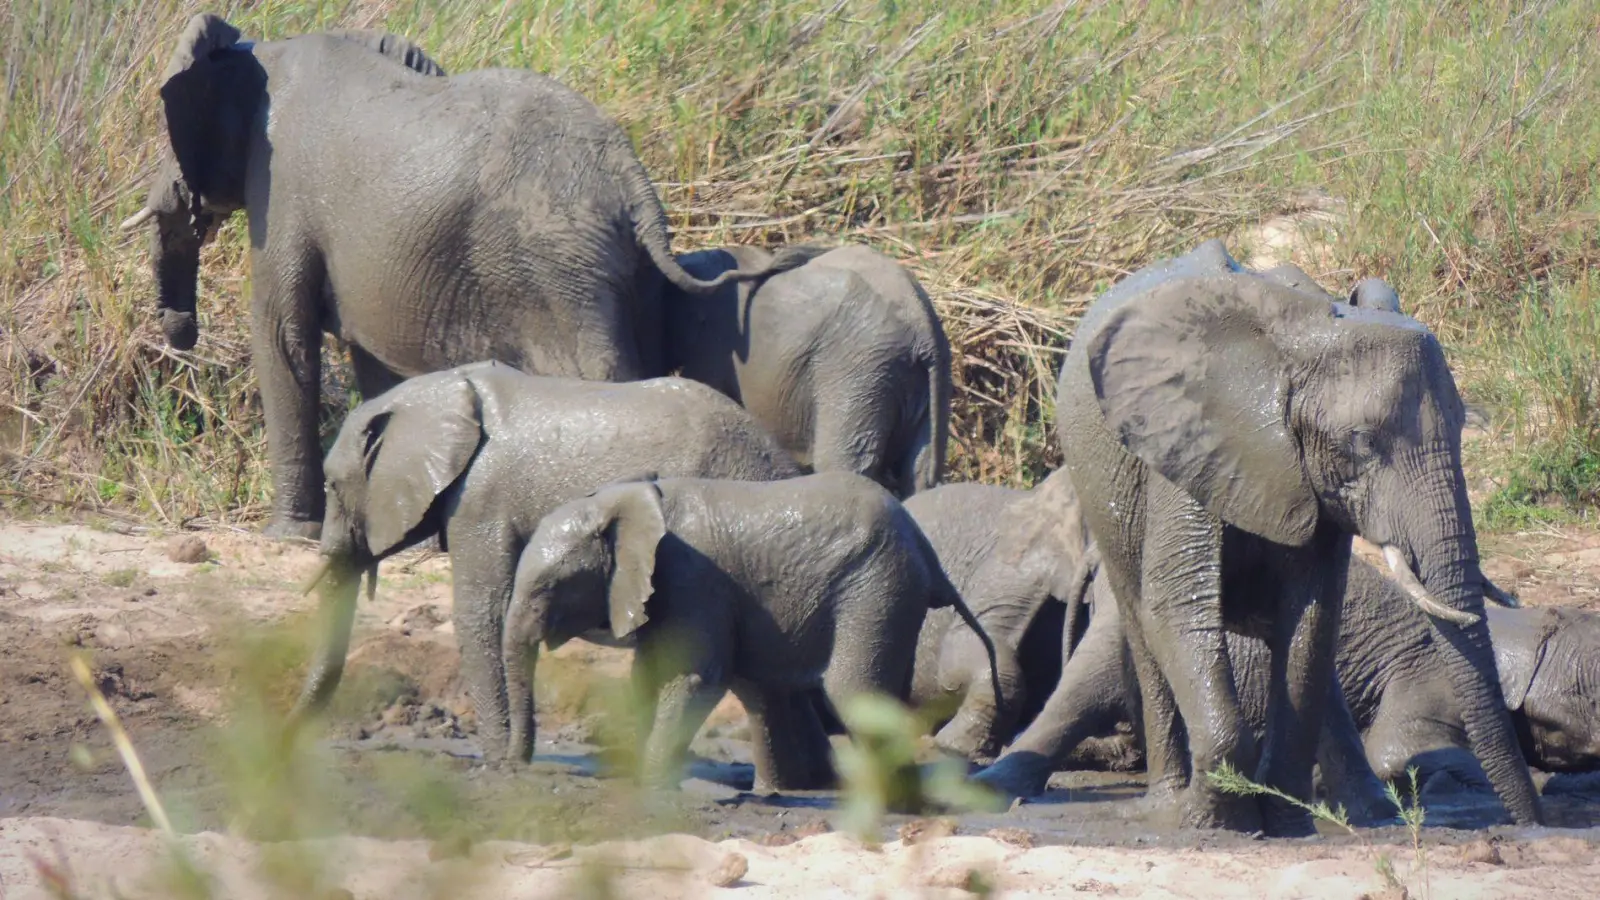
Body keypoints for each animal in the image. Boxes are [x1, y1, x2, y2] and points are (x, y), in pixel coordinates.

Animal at [121, 14, 812, 534]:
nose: (180, 332)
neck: (265, 48)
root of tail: (635, 184)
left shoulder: (283, 186)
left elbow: (283, 336)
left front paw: (288, 535)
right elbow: (375, 362)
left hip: (561, 269)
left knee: (601, 374)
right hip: (621, 271)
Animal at [502, 464, 1024, 787]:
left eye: (550, 587)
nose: (514, 767)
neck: (623, 501)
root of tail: (924, 547)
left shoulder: (693, 579)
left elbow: (695, 679)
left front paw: (649, 783)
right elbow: (647, 676)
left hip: (878, 585)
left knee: (852, 691)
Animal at [1043, 240, 1542, 832]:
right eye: (1362, 440)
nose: (1532, 821)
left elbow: (1311, 615)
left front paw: (1283, 820)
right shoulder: (1184, 441)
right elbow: (1177, 603)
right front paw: (1215, 822)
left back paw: (1365, 811)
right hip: (1102, 492)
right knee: (1141, 622)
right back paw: (1166, 806)